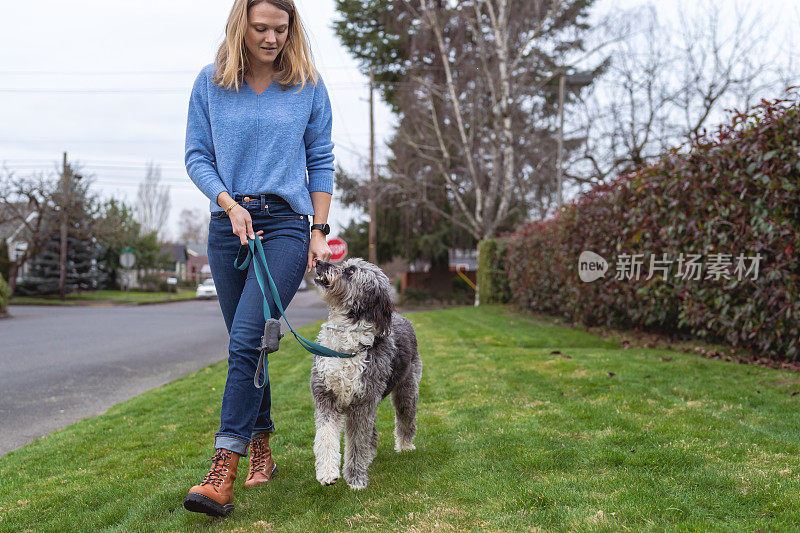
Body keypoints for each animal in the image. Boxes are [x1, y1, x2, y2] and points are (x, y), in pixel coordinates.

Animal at [312, 256, 424, 488]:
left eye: (350, 271)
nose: (318, 261)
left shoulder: (362, 404)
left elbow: (357, 443)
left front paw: (356, 478)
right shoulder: (326, 398)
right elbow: (325, 437)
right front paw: (327, 473)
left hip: (407, 390)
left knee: (405, 418)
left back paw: (405, 446)